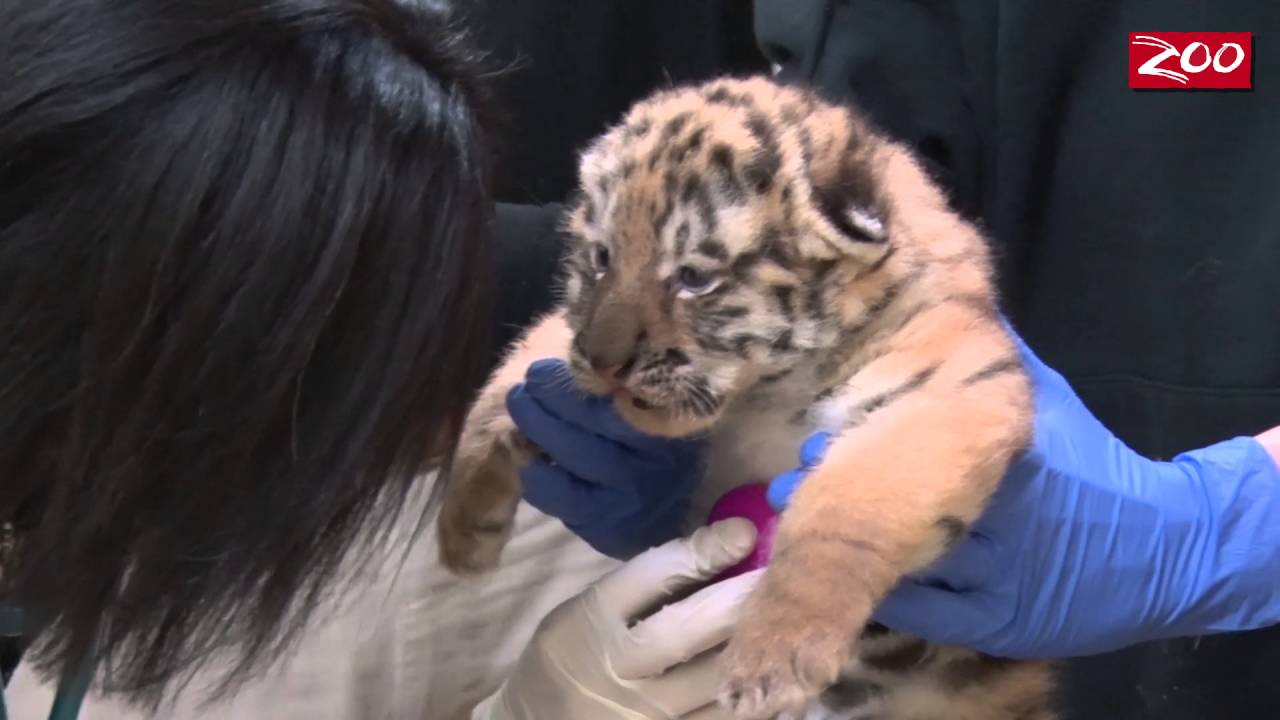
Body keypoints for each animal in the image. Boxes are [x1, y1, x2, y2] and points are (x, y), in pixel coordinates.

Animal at [435, 75, 1054, 720]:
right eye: (602, 258)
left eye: (693, 278)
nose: (605, 365)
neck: (766, 391)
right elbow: (522, 364)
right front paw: (464, 530)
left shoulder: (943, 390)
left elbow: (845, 504)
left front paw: (773, 659)